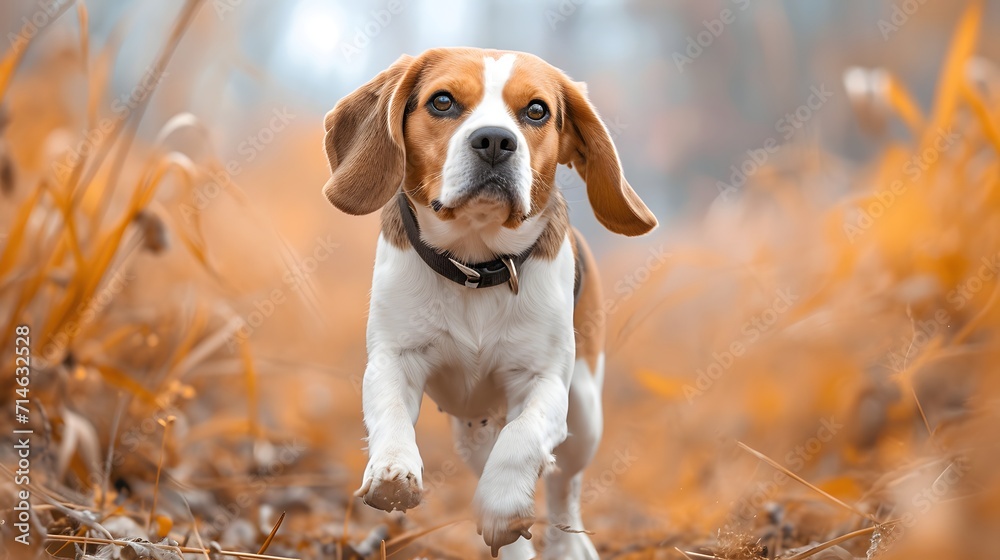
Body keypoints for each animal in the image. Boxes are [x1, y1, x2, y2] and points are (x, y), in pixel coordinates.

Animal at [320, 49, 660, 560]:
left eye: (537, 110)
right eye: (442, 101)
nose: (496, 141)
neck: (476, 266)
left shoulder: (545, 382)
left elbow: (523, 439)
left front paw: (502, 505)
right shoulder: (393, 359)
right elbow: (391, 414)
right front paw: (393, 473)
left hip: (583, 411)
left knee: (563, 484)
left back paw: (564, 543)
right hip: (474, 430)